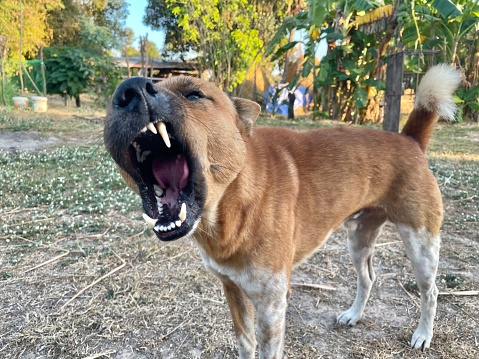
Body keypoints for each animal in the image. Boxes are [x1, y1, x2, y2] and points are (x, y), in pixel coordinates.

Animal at [104, 64, 462, 358]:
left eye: (193, 94)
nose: (130, 89)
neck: (235, 204)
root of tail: (409, 138)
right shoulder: (232, 289)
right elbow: (245, 344)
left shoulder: (272, 304)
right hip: (358, 240)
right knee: (368, 278)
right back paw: (353, 315)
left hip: (421, 244)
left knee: (431, 291)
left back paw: (423, 335)